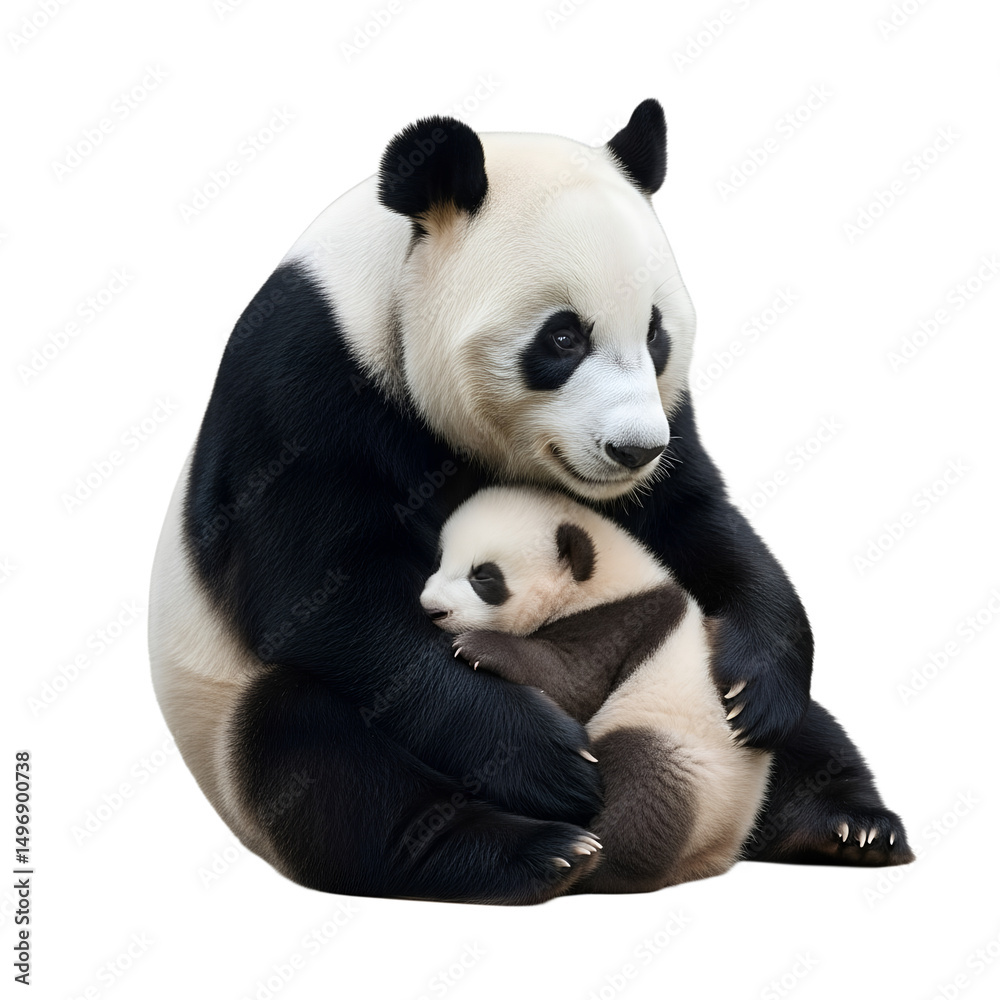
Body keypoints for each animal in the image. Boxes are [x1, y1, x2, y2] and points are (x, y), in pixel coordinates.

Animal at [420, 485, 773, 891]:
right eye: (439, 560)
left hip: (693, 762)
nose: (432, 610)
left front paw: (479, 647)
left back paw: (590, 860)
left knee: (646, 784)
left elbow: (572, 681)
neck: (603, 579)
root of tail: (715, 852)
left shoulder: (620, 623)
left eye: (484, 577)